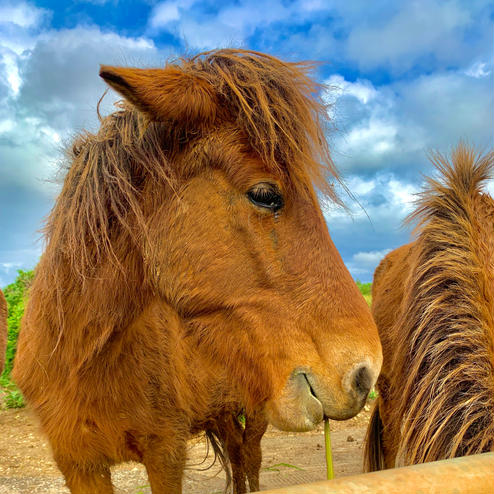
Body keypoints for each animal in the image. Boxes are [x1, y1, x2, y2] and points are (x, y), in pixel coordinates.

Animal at [12, 47, 382, 494]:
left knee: (249, 461)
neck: (81, 359)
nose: (364, 373)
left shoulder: (165, 452)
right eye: (265, 194)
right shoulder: (79, 464)